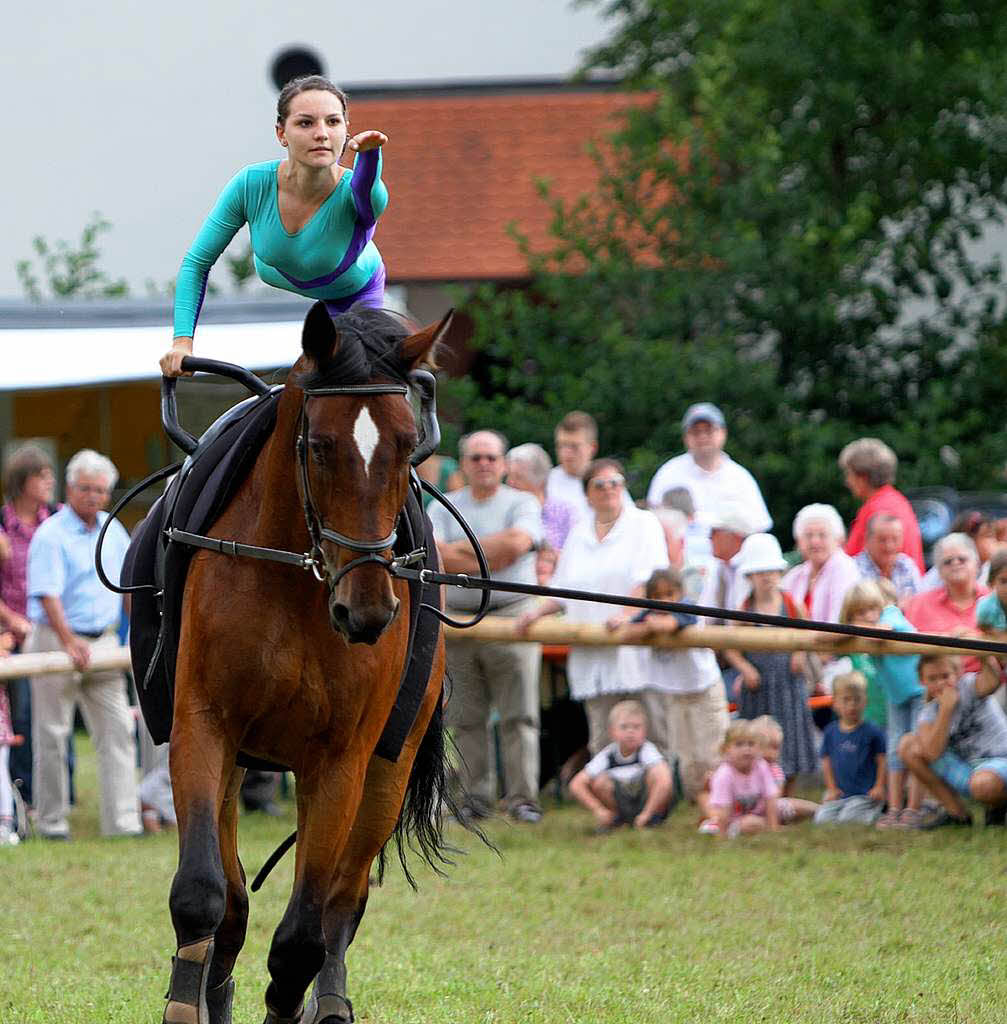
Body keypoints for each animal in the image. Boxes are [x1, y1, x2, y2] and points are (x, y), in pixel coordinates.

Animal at [163, 303, 452, 1024]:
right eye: (319, 446)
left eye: (406, 445)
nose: (368, 611)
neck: (298, 584)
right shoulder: (204, 727)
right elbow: (204, 892)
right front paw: (188, 1002)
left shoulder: (338, 764)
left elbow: (302, 935)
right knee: (235, 901)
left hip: (386, 773)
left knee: (343, 899)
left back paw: (330, 999)